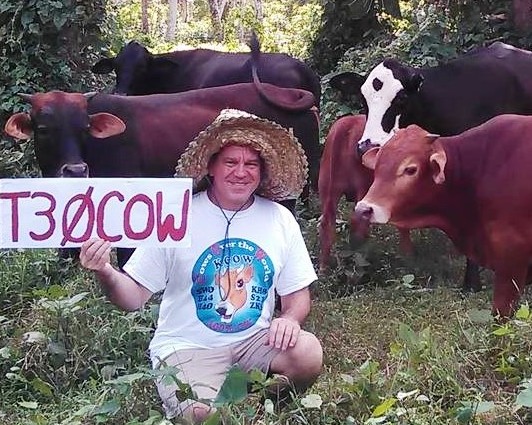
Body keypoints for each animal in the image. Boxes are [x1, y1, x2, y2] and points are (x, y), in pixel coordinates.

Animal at [318, 114, 412, 272]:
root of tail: (346, 125)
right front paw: (407, 257)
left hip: (327, 188)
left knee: (327, 223)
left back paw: (324, 268)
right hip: (362, 188)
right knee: (357, 221)